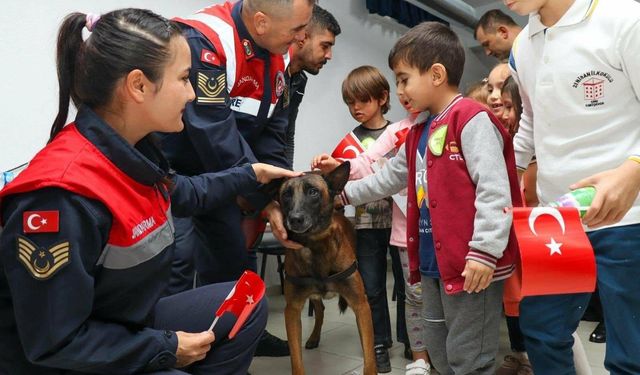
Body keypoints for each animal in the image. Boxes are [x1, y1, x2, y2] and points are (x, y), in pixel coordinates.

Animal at [274, 163, 376, 375]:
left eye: (313, 192)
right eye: (286, 194)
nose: (294, 219)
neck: (315, 246)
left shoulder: (361, 305)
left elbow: (369, 358)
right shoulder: (292, 310)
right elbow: (296, 360)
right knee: (320, 310)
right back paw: (314, 337)